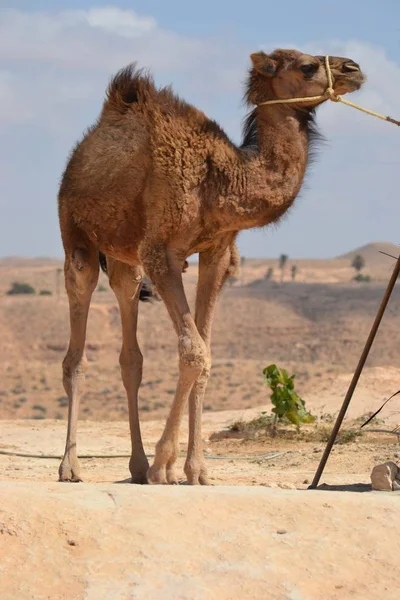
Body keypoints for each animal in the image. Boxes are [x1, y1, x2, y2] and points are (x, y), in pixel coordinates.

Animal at [57, 49, 366, 486]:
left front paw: (195, 470)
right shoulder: (161, 252)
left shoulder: (217, 253)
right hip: (77, 233)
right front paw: (164, 466)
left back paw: (136, 466)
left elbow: (205, 355)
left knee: (129, 345)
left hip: (124, 257)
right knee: (76, 344)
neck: (219, 180)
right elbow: (193, 352)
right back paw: (71, 466)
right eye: (306, 66)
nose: (354, 69)